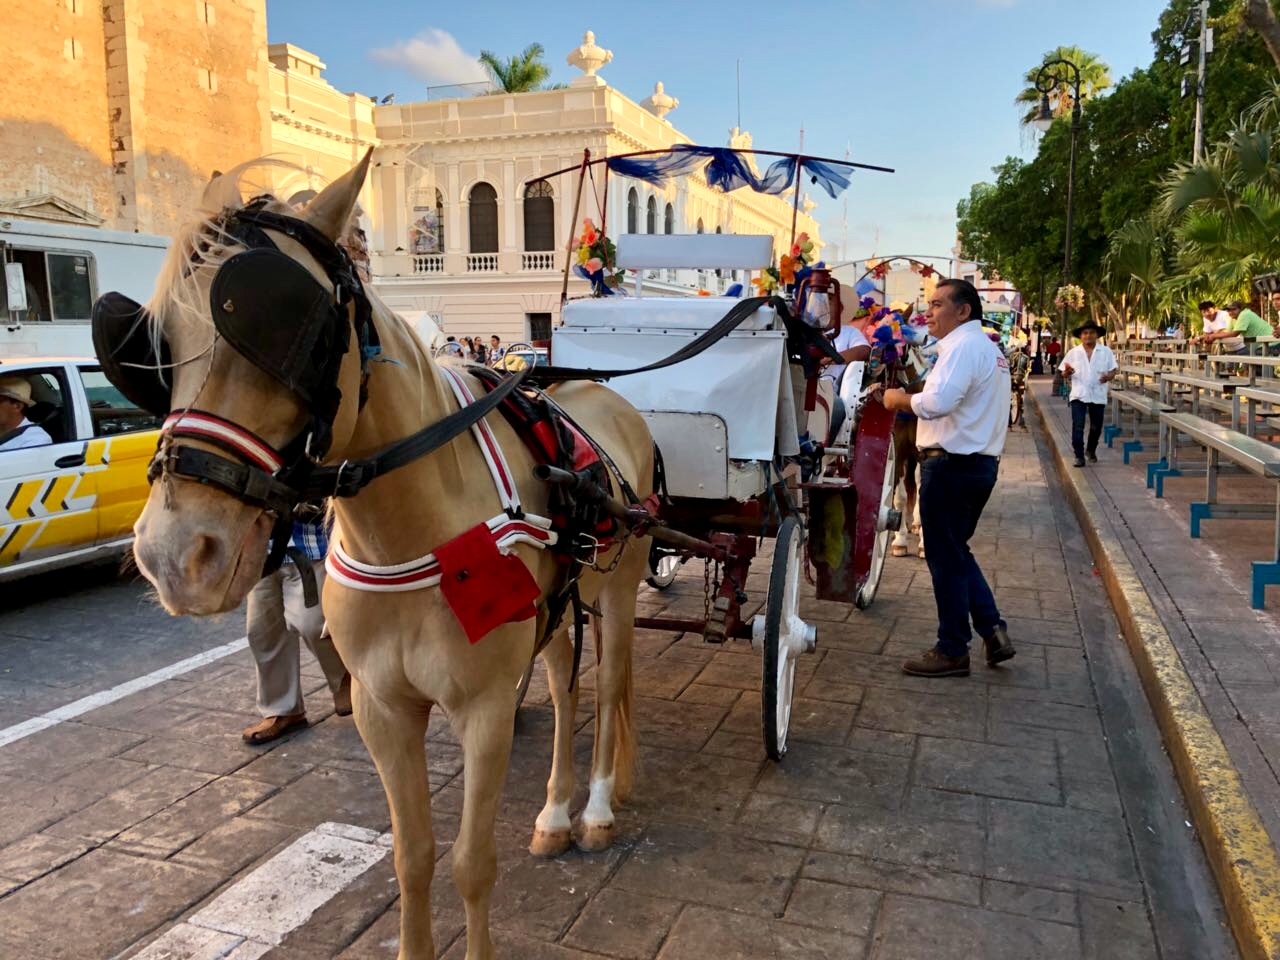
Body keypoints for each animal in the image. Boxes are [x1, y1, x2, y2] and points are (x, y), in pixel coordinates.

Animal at [113, 158, 650, 960]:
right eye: (160, 337)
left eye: (292, 327)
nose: (174, 554)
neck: (412, 530)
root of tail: (601, 394)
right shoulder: (382, 708)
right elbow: (411, 857)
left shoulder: (485, 709)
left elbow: (470, 864)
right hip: (557, 610)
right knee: (563, 691)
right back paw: (556, 811)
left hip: (617, 593)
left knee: (611, 683)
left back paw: (596, 807)